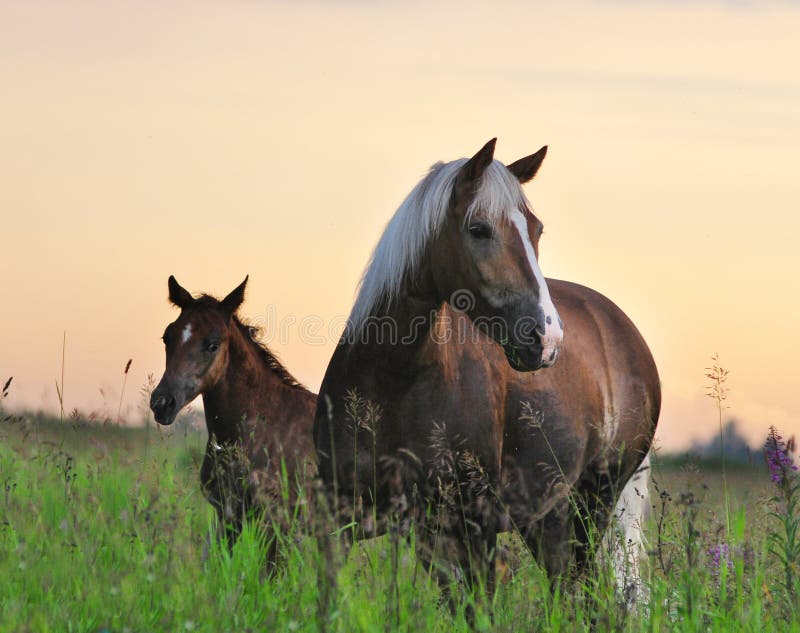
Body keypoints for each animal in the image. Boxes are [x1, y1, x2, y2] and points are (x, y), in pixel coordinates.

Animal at [312, 139, 656, 608]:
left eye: (536, 229)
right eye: (478, 230)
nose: (546, 337)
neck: (391, 382)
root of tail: (623, 329)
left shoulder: (476, 526)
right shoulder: (345, 518)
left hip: (595, 502)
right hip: (546, 515)